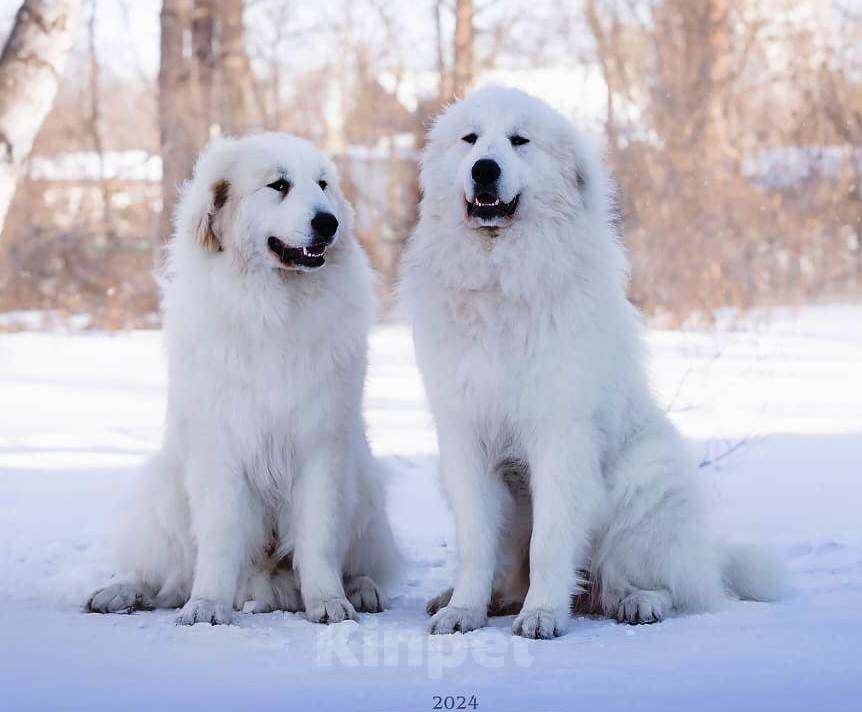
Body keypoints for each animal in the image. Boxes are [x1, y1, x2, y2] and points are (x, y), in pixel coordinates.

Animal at [82, 134, 400, 624]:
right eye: (279, 185)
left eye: (323, 185)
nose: (327, 222)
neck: (271, 308)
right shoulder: (219, 447)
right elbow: (219, 537)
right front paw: (207, 605)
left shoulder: (321, 447)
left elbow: (318, 537)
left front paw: (329, 602)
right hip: (165, 485)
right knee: (167, 576)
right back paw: (122, 592)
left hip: (364, 483)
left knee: (359, 561)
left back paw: (361, 589)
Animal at [402, 87, 788, 640]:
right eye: (470, 139)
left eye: (520, 141)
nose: (484, 169)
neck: (501, 277)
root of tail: (706, 561)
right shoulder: (463, 438)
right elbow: (476, 542)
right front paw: (463, 611)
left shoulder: (560, 436)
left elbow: (550, 541)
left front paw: (542, 614)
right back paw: (476, 598)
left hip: (645, 482)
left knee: (641, 579)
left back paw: (637, 602)